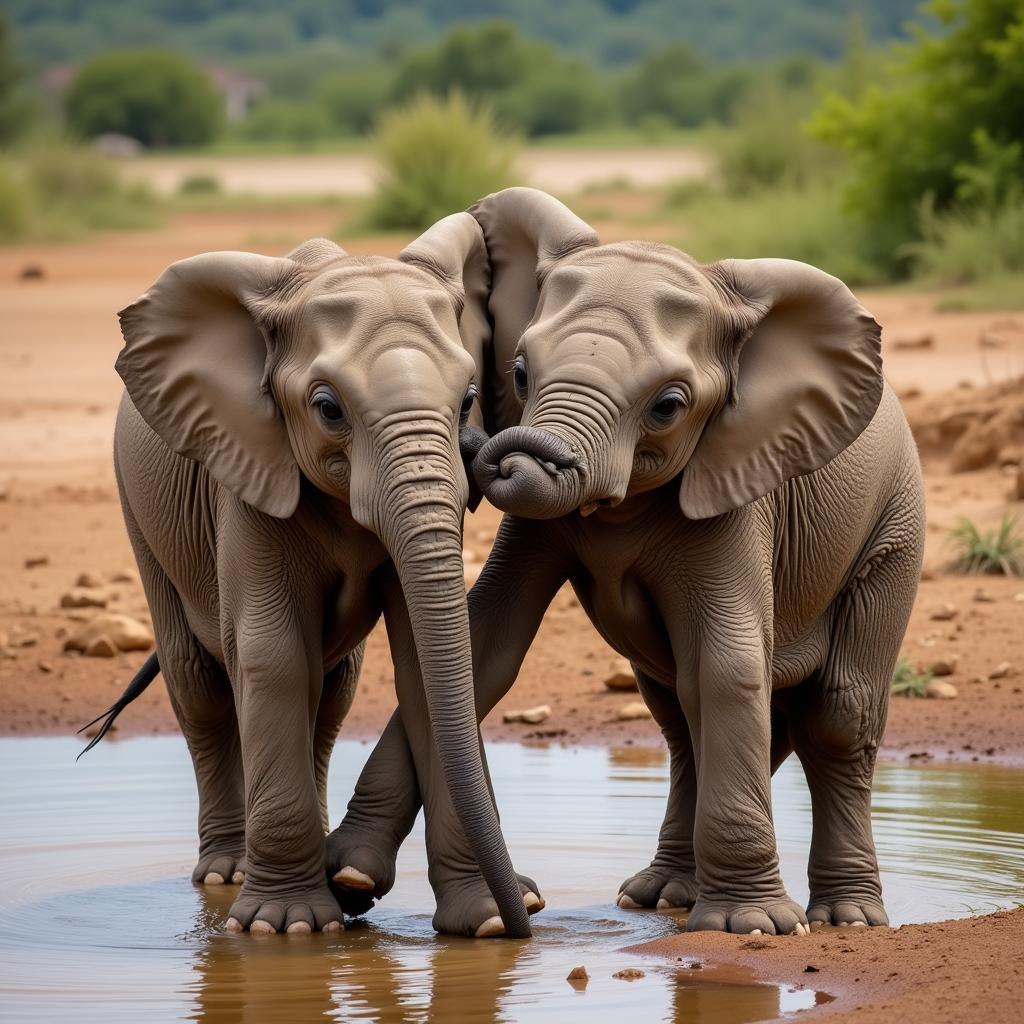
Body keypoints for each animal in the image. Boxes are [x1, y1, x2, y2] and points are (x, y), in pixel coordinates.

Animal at [105, 216, 536, 937]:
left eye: (469, 400)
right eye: (329, 409)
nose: (530, 919)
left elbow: (426, 661)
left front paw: (485, 924)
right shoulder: (248, 471)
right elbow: (273, 656)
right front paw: (286, 927)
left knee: (332, 693)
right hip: (139, 510)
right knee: (199, 684)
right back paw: (228, 873)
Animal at [331, 190, 925, 937]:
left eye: (668, 406)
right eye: (519, 372)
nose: (490, 453)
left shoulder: (737, 485)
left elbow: (729, 667)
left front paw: (752, 926)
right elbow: (487, 645)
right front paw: (349, 877)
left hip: (895, 527)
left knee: (837, 715)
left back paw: (848, 917)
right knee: (678, 713)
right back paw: (662, 895)